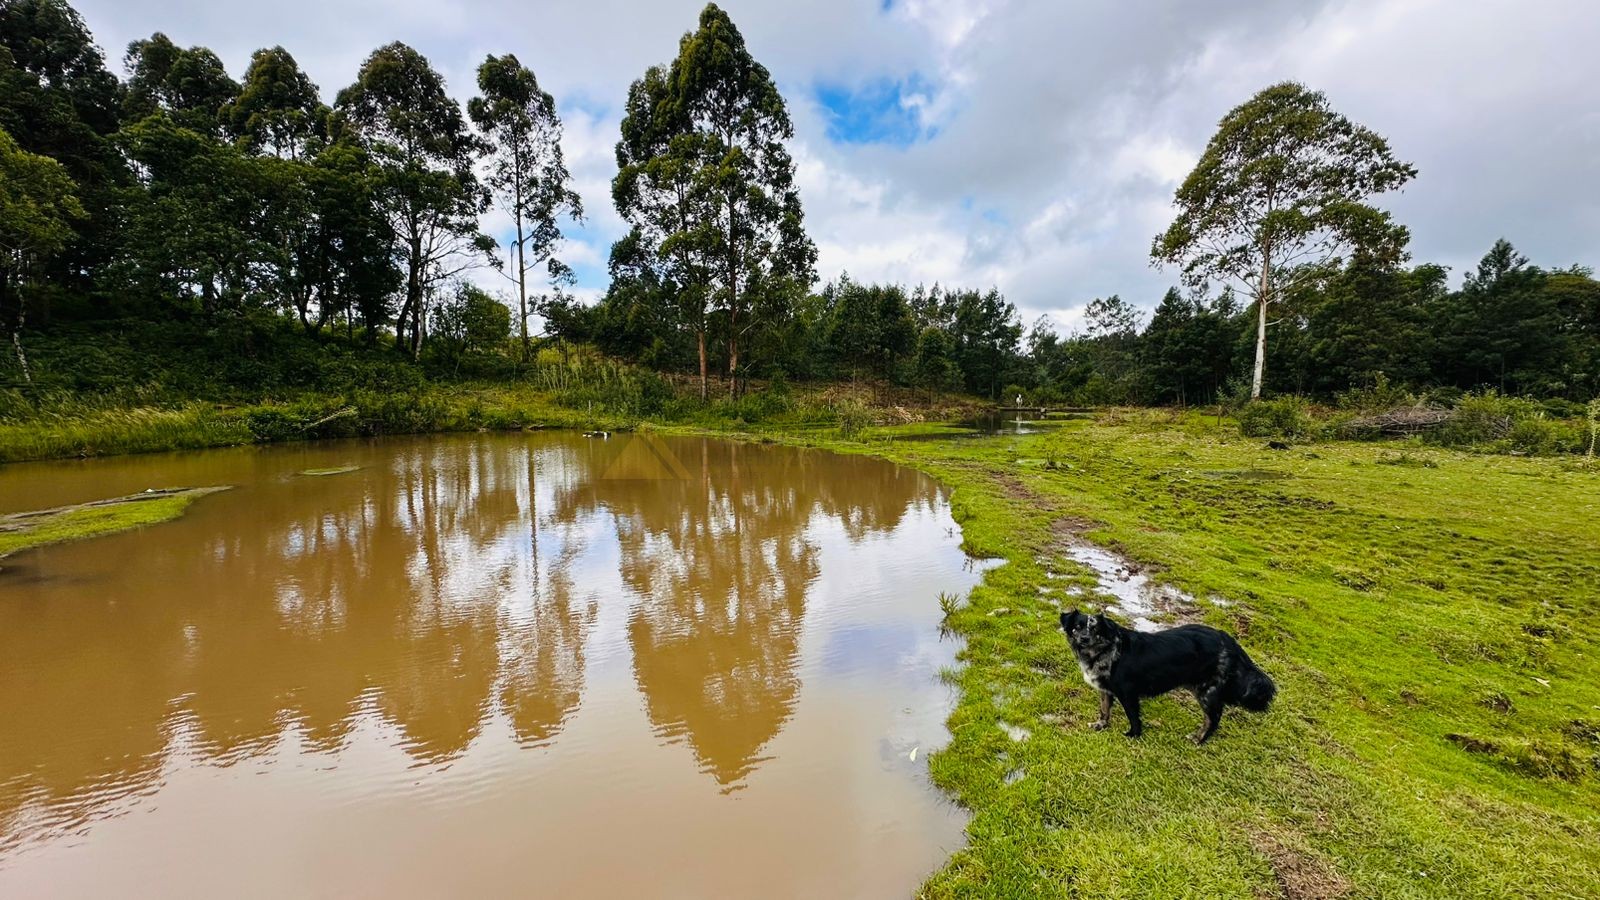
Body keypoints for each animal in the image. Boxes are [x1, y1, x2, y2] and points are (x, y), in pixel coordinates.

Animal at [1062, 608, 1273, 743]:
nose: (1083, 638)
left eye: (1095, 629)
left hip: (1206, 691)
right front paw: (1101, 725)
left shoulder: (1128, 694)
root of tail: (1227, 638)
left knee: (1213, 719)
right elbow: (1104, 710)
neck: (1106, 650)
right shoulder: (1106, 690)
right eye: (1077, 627)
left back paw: (1199, 739)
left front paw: (1133, 735)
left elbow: (1133, 717)